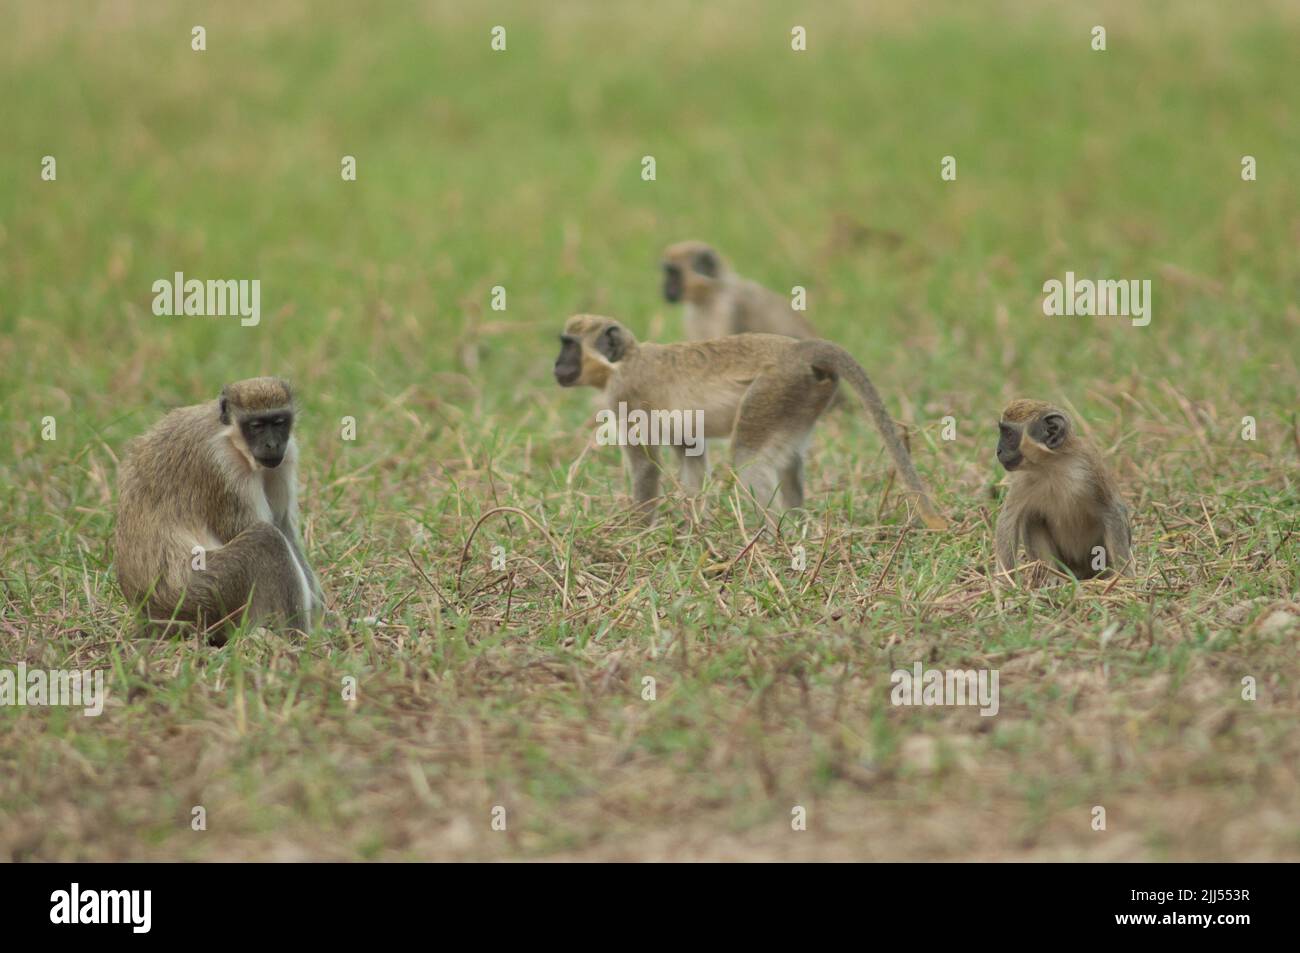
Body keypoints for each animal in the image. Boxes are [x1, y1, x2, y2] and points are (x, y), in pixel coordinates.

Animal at [114, 374, 322, 634]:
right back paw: (295, 638)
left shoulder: (285, 456)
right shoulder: (222, 465)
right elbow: (252, 530)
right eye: (256, 426)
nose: (273, 445)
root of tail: (151, 615)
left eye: (279, 422)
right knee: (266, 539)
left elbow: (283, 526)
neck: (232, 440)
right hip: (200, 596)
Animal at [548, 317, 946, 527]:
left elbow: (645, 467)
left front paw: (638, 532)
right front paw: (693, 527)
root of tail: (798, 350)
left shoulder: (624, 395)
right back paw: (796, 524)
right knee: (788, 461)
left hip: (772, 390)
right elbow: (692, 457)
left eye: (569, 345)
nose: (556, 366)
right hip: (800, 399)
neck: (626, 360)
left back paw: (770, 536)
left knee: (748, 458)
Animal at [987, 395, 1133, 579]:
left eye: (1009, 434)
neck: (1051, 465)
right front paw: (1005, 581)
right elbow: (1008, 521)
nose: (998, 451)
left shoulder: (1089, 467)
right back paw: (1052, 577)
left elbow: (1113, 512)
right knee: (1032, 517)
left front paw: (1125, 578)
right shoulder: (1022, 481)